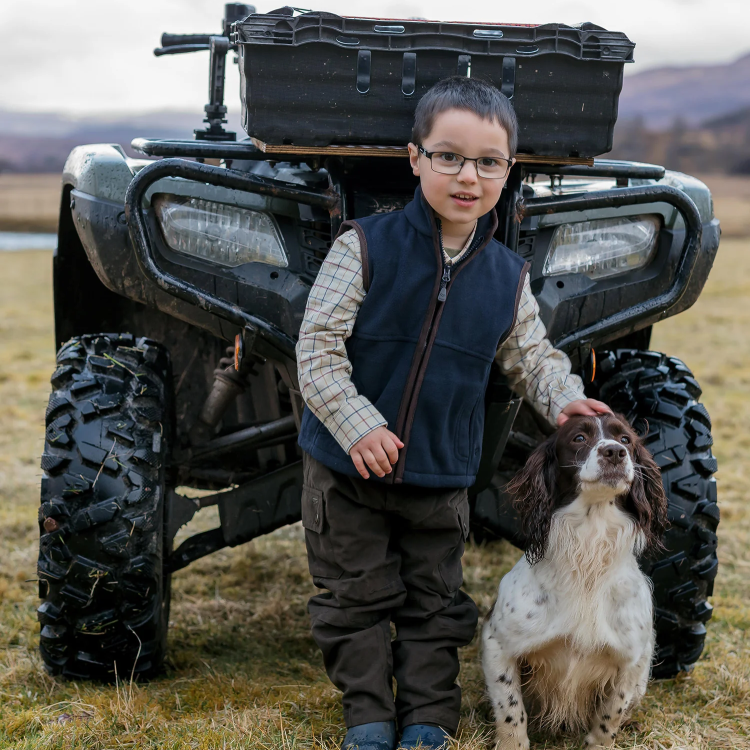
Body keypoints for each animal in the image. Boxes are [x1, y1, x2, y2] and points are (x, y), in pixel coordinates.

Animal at [482, 414, 668, 748]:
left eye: (626, 439)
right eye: (579, 438)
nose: (614, 452)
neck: (587, 558)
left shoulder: (632, 660)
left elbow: (609, 718)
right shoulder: (497, 642)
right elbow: (510, 709)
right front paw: (512, 742)